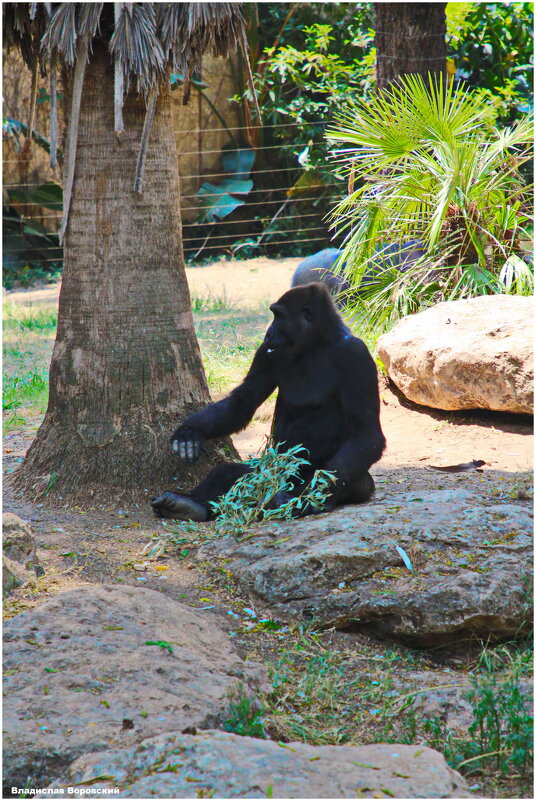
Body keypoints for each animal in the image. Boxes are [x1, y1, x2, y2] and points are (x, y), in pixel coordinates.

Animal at [152, 282, 386, 520]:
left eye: (279, 316)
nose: (268, 333)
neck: (317, 343)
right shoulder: (266, 352)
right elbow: (243, 401)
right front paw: (189, 431)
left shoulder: (356, 354)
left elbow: (366, 434)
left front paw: (311, 498)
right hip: (269, 467)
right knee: (234, 472)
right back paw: (189, 505)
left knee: (355, 482)